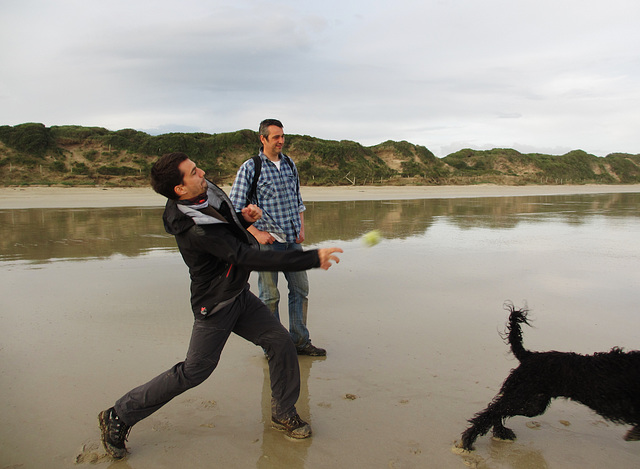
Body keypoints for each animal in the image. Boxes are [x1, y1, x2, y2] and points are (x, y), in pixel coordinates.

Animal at [460, 304, 640, 450]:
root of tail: (529, 356)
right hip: (521, 396)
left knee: (498, 411)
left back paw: (500, 433)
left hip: (533, 404)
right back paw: (468, 441)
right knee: (491, 412)